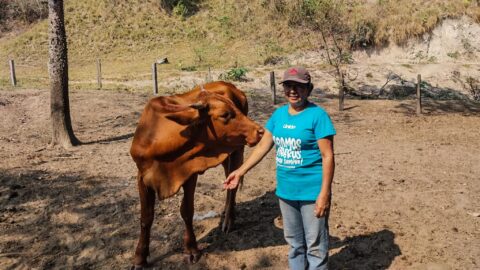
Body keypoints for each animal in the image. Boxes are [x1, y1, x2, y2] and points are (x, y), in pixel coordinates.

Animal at [129, 81, 264, 266]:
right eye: (225, 114)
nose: (260, 131)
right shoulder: (142, 177)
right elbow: (146, 218)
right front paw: (140, 257)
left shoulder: (190, 174)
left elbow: (187, 211)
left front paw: (191, 248)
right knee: (229, 178)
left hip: (237, 148)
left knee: (233, 185)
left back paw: (229, 220)